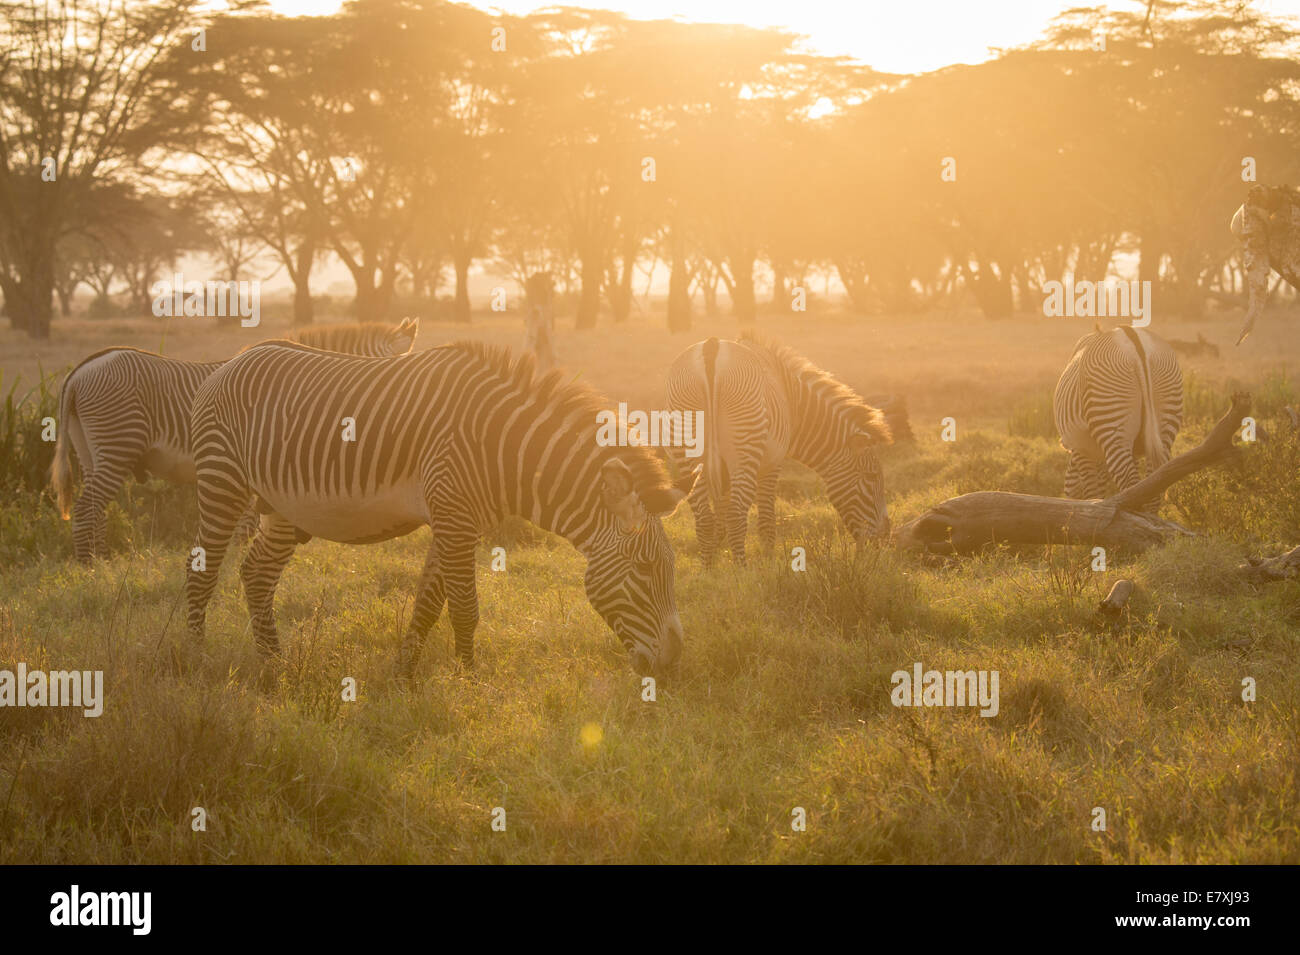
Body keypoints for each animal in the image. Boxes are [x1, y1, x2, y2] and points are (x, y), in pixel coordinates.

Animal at [49, 320, 416, 561]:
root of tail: (81, 370)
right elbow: (249, 524)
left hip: (90, 449)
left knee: (95, 508)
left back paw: (101, 561)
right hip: (118, 444)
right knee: (86, 508)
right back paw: (90, 568)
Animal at [187, 340, 696, 675]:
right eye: (646, 567)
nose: (673, 662)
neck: (503, 447)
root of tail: (230, 362)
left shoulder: (455, 521)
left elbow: (429, 604)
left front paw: (406, 673)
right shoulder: (454, 517)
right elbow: (465, 608)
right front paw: (471, 682)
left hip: (280, 507)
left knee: (256, 574)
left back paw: (273, 665)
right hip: (221, 482)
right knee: (202, 572)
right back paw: (197, 659)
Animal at [665, 332, 889, 563]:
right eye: (871, 476)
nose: (885, 536)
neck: (792, 402)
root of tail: (711, 348)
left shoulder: (724, 471)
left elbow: (720, 516)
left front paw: (717, 559)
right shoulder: (772, 464)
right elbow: (766, 521)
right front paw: (768, 564)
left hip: (686, 447)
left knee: (705, 519)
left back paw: (708, 569)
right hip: (745, 447)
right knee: (736, 515)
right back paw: (741, 569)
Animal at [1050, 324, 1185, 501]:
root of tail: (1134, 339)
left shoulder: (1081, 450)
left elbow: (1092, 493)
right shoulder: (1130, 452)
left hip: (1111, 420)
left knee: (1131, 484)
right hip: (1166, 415)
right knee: (1152, 488)